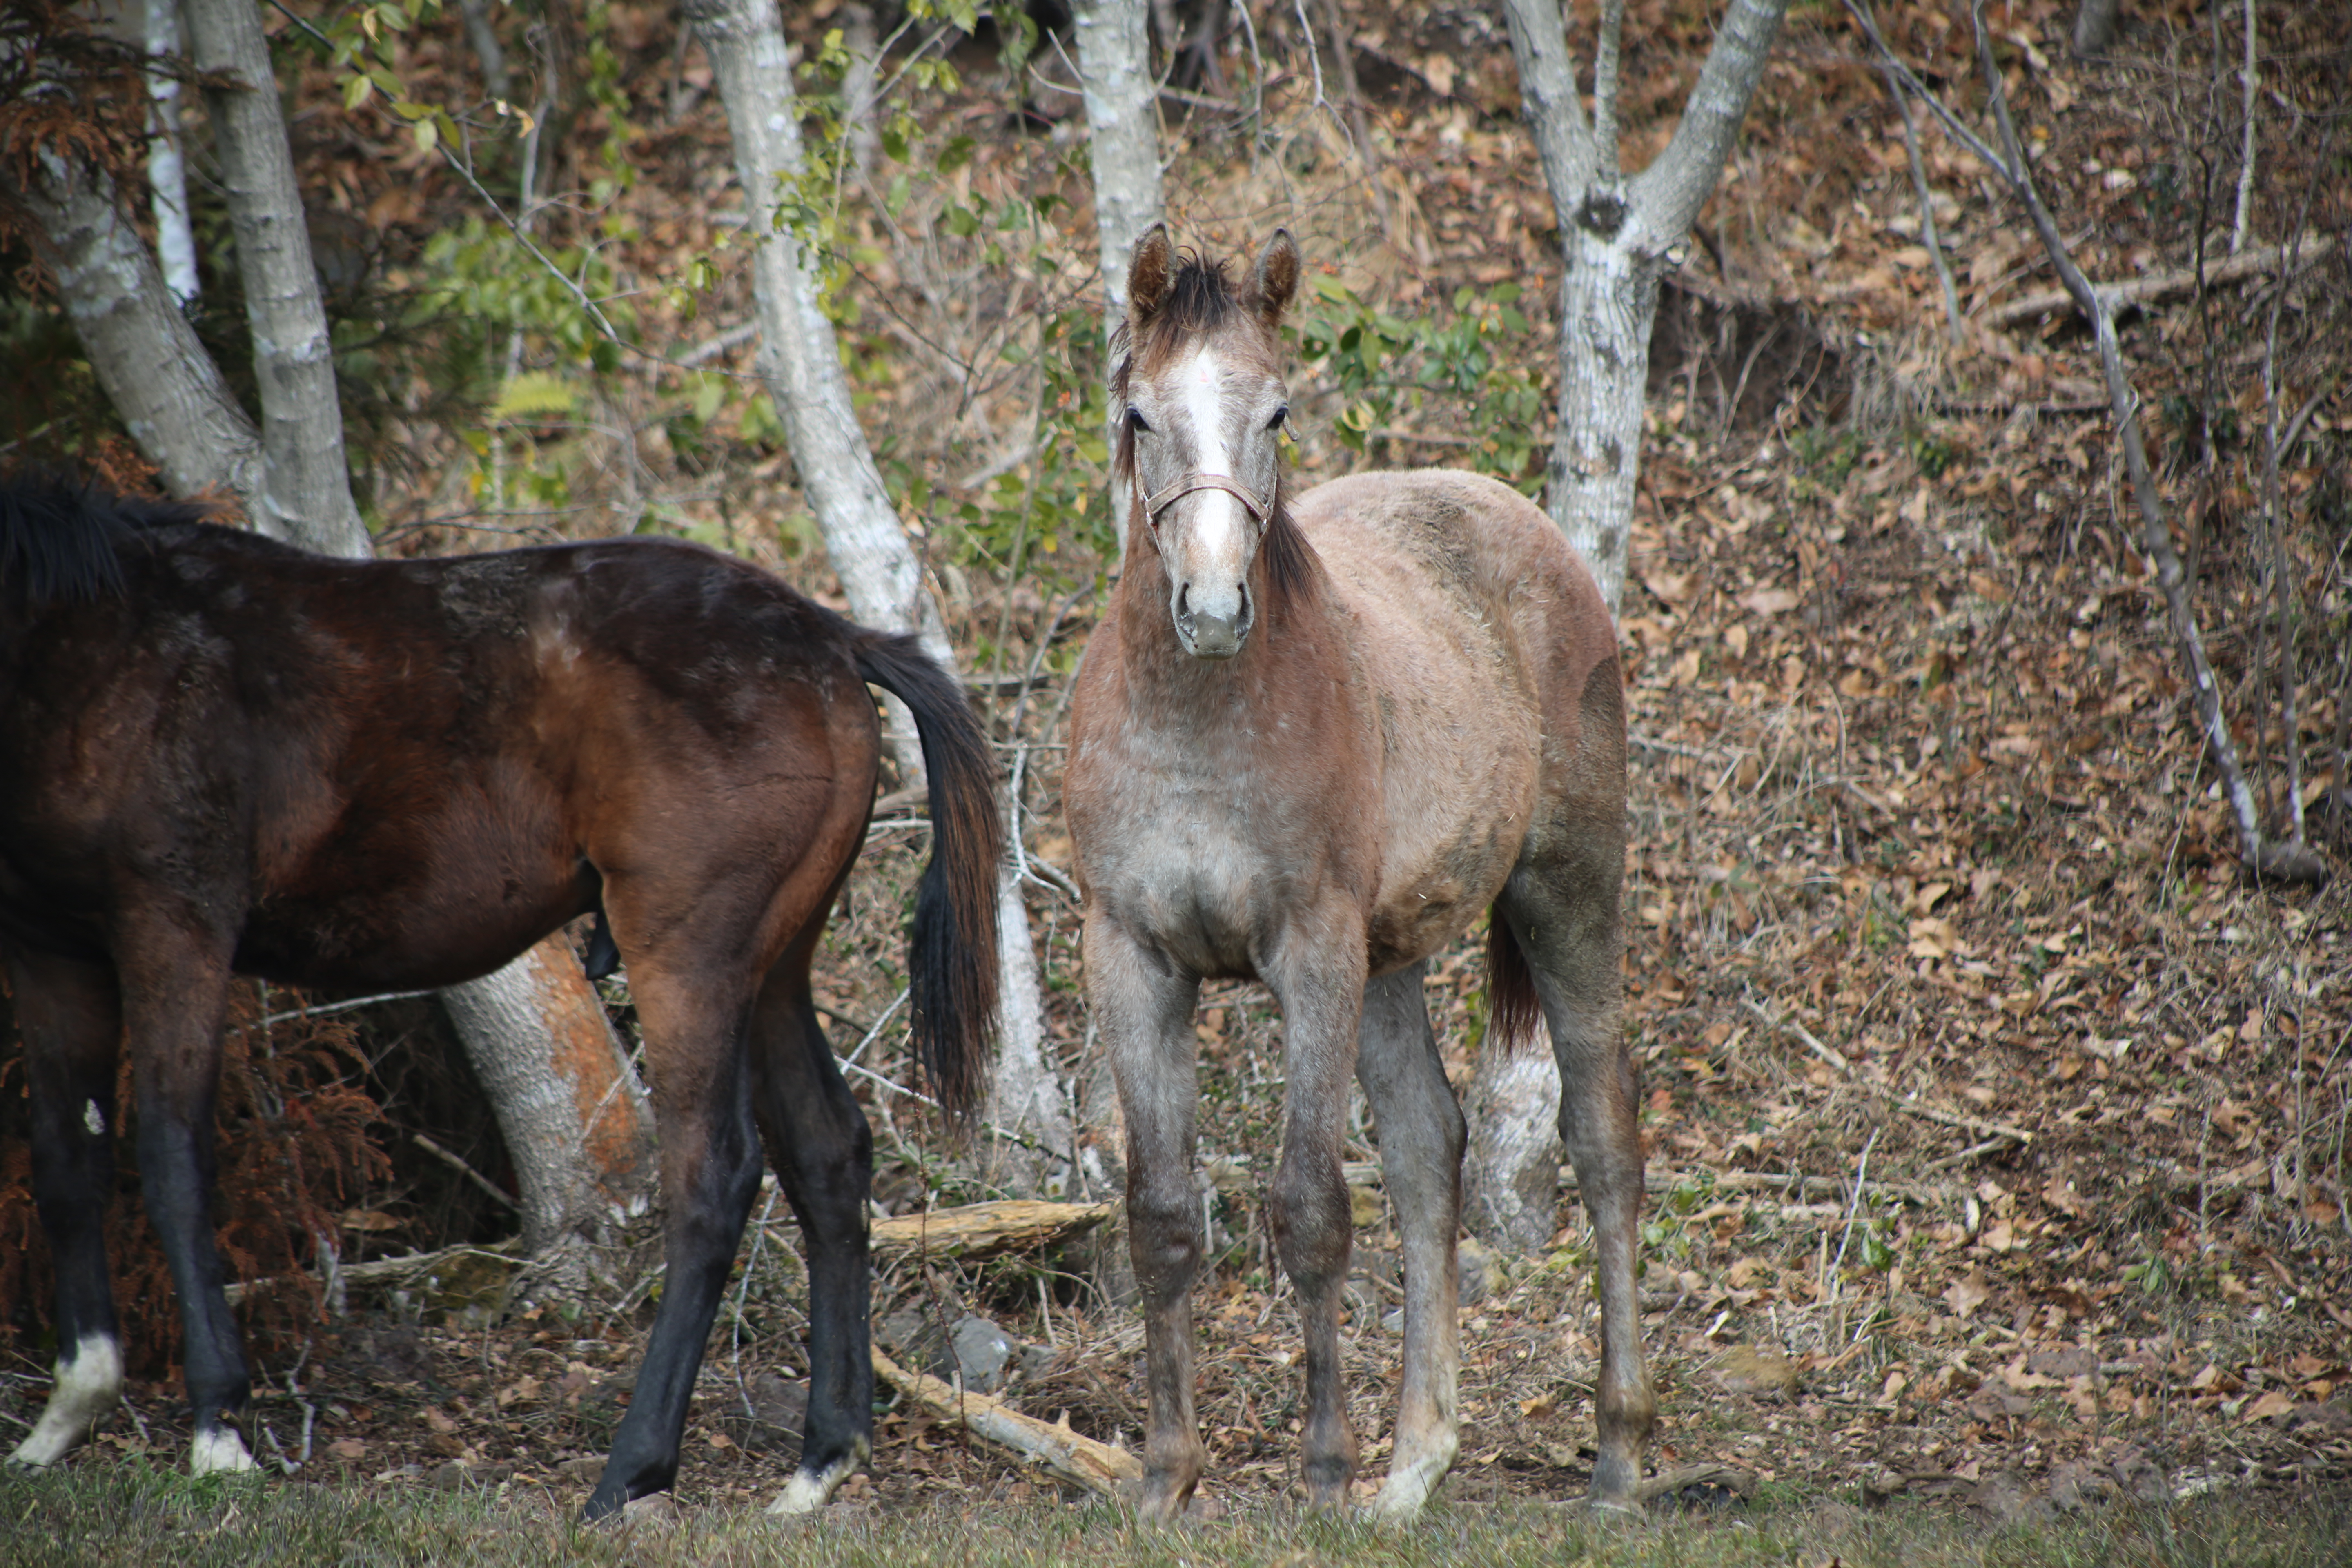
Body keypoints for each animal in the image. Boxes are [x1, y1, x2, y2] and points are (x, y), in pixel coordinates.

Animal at [0, 479, 1002, 1523]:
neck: (93, 642)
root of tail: (828, 637)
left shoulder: (175, 923)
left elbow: (171, 1156)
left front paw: (219, 1431)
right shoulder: (49, 947)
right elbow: (66, 1156)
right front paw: (66, 1415)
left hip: (691, 957)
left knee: (714, 1174)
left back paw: (631, 1470)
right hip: (773, 967)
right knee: (828, 1152)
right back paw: (820, 1461)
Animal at [1072, 232, 1656, 1523]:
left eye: (1276, 410)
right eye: (1138, 415)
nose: (1211, 608)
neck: (1196, 724)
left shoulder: (1311, 956)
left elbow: (1309, 1210)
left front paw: (1322, 1468)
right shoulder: (1133, 959)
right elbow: (1162, 1216)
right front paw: (1168, 1475)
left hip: (1565, 896)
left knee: (1601, 1143)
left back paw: (1617, 1452)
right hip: (1390, 960)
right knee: (1428, 1153)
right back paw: (1414, 1465)